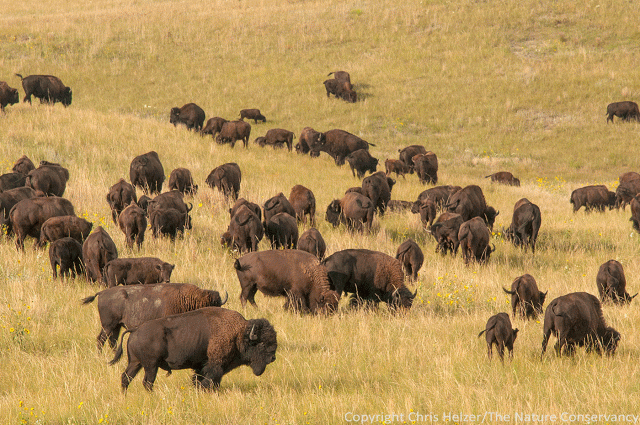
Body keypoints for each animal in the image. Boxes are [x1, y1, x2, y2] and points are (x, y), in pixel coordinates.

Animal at [109, 307, 277, 391]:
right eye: (262, 343)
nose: (272, 358)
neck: (239, 334)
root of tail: (135, 330)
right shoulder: (215, 366)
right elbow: (210, 381)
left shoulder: (201, 366)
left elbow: (199, 379)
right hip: (151, 365)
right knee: (147, 382)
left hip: (136, 363)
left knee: (126, 378)